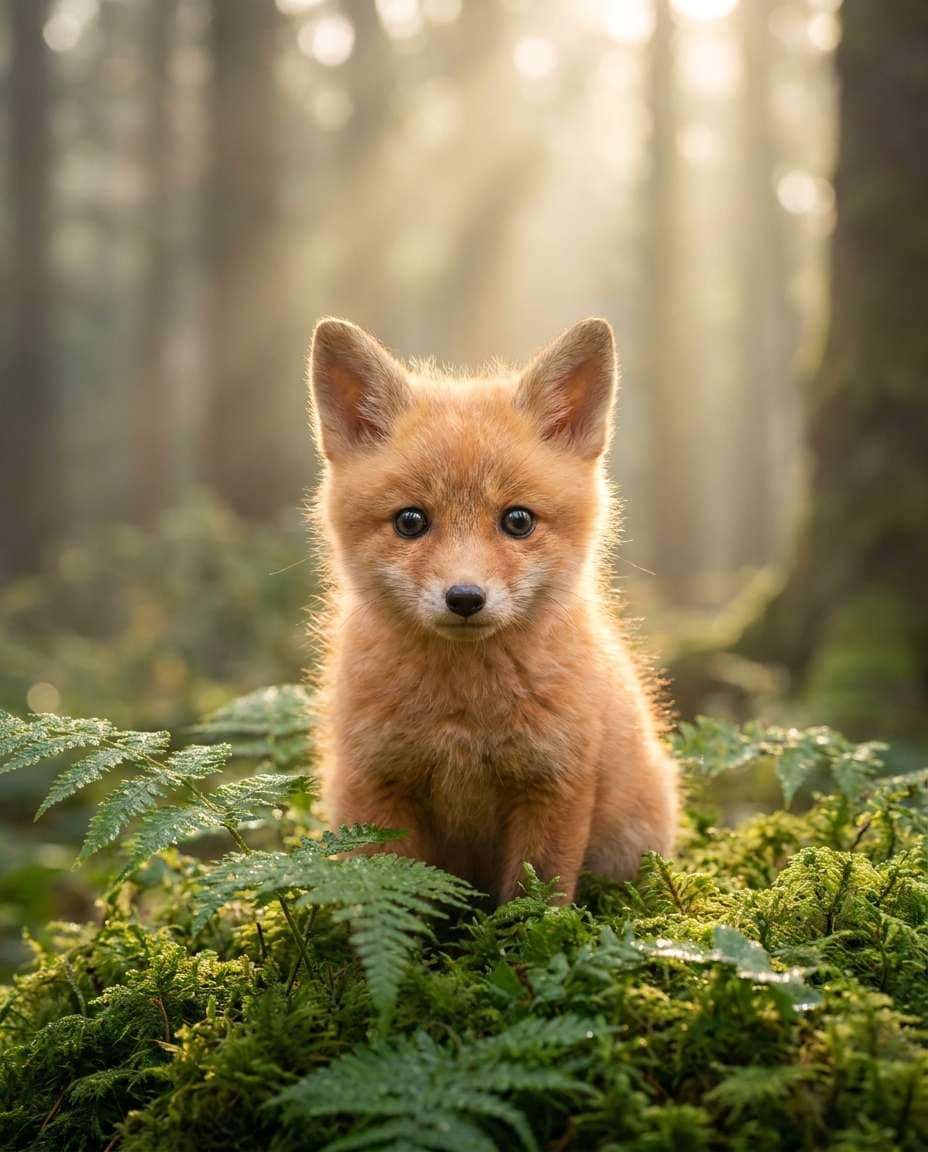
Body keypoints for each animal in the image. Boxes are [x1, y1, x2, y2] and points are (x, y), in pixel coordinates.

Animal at [307, 316, 678, 905]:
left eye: (518, 521)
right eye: (410, 521)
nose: (464, 598)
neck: (463, 716)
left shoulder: (555, 784)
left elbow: (536, 904)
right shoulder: (376, 787)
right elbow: (396, 898)